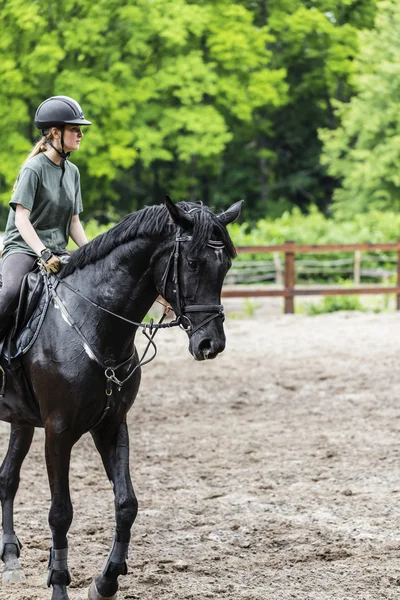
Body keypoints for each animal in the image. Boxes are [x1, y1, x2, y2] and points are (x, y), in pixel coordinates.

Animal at [0, 198, 242, 600]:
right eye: (193, 263)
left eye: (225, 266)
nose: (212, 344)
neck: (93, 322)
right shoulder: (58, 432)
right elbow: (60, 512)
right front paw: (60, 584)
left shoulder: (111, 425)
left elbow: (127, 504)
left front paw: (105, 581)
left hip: (21, 420)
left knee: (7, 478)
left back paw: (10, 558)